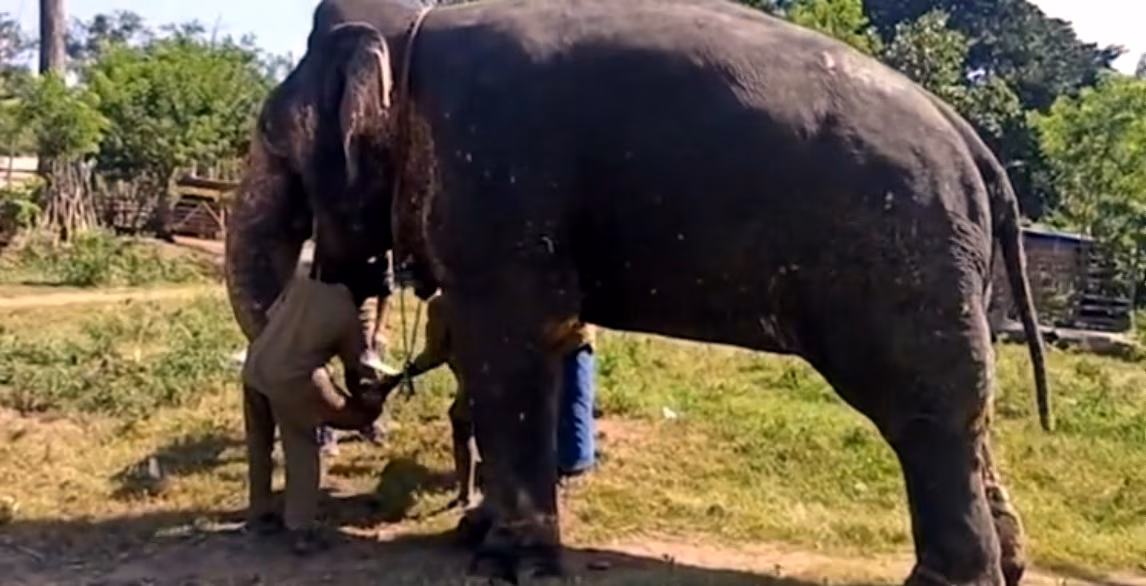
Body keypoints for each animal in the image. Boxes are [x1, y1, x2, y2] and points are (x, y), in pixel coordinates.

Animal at [223, 0, 1053, 585]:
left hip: (898, 255)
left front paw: (506, 564)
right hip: (949, 268)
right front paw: (475, 534)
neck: (412, 29)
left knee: (925, 414)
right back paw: (1009, 565)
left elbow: (511, 352)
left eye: (272, 136)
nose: (366, 386)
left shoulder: (496, 179)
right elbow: (532, 351)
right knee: (969, 413)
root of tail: (972, 142)